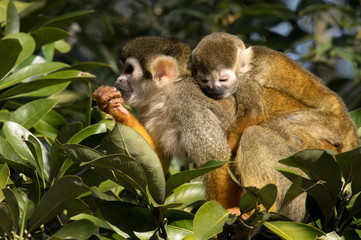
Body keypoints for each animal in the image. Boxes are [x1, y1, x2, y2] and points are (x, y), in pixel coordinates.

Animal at [191, 32, 360, 221]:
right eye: (205, 81)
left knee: (271, 128)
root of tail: (346, 120)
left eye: (223, 79)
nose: (215, 89)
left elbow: (254, 113)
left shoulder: (245, 80)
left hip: (327, 124)